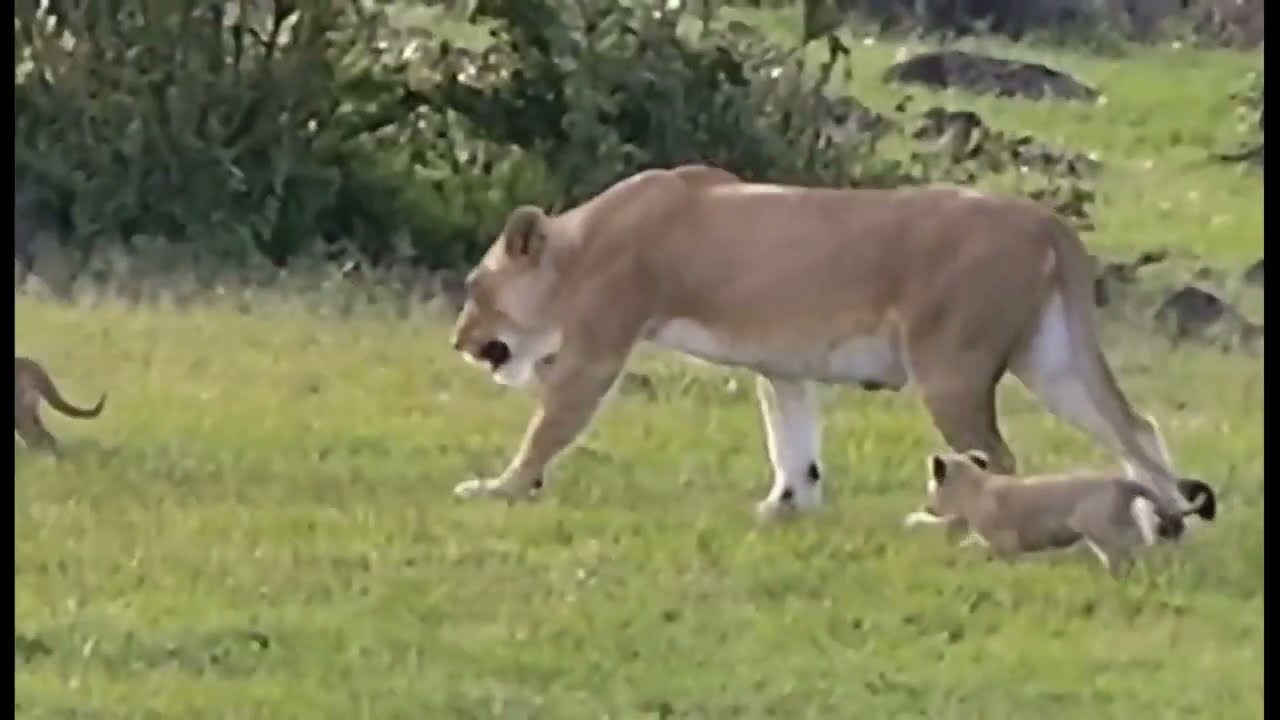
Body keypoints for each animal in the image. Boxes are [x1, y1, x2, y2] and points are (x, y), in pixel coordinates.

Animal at [450, 163, 1208, 522]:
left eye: (474, 288)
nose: (460, 343)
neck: (581, 244)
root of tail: (1043, 218)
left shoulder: (597, 350)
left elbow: (549, 425)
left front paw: (500, 486)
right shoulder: (783, 365)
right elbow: (793, 441)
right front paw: (786, 509)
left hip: (951, 369)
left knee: (998, 460)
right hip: (1052, 363)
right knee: (1135, 427)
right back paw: (1168, 521)